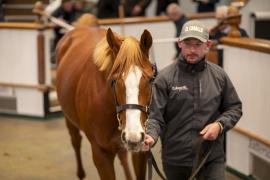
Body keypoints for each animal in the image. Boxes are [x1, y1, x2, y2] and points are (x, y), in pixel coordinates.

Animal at [55, 26, 154, 179]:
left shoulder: (141, 151)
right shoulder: (101, 154)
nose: (133, 136)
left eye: (150, 79)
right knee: (76, 141)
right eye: (113, 81)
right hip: (69, 119)